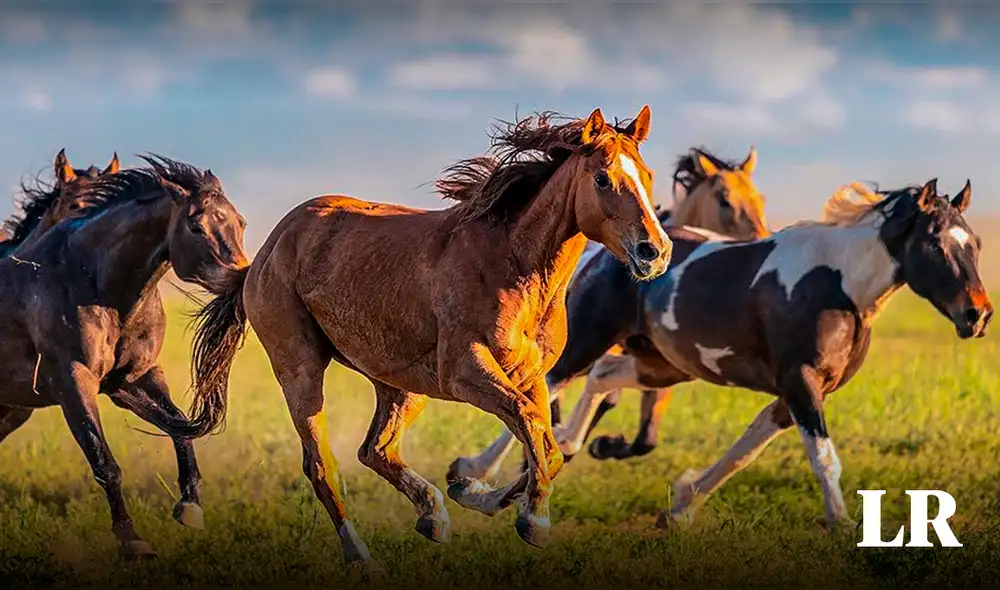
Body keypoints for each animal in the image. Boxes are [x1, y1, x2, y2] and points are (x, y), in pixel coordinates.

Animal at [0, 155, 248, 558]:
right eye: (196, 225)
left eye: (240, 222)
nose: (242, 278)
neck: (93, 281)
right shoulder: (73, 382)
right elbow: (104, 461)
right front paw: (131, 539)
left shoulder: (137, 376)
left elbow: (178, 426)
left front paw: (190, 507)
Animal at [188, 106, 671, 573]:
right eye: (603, 177)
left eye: (648, 175)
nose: (654, 251)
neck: (515, 268)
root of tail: (264, 254)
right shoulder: (465, 372)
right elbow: (533, 428)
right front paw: (533, 522)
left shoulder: (530, 376)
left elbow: (544, 445)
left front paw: (472, 490)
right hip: (300, 368)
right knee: (322, 465)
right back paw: (363, 558)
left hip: (400, 384)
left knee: (376, 450)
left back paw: (433, 515)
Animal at [449, 145, 772, 481]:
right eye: (724, 199)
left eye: (759, 198)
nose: (763, 237)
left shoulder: (658, 363)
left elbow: (645, 436)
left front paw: (603, 445)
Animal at [484, 178, 991, 531]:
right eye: (935, 243)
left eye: (975, 244)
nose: (978, 314)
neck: (837, 286)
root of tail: (604, 252)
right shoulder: (800, 383)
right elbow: (823, 457)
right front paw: (843, 523)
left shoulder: (794, 394)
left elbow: (744, 452)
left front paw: (682, 506)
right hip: (591, 338)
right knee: (542, 392)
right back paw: (477, 478)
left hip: (662, 365)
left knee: (601, 378)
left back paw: (570, 446)